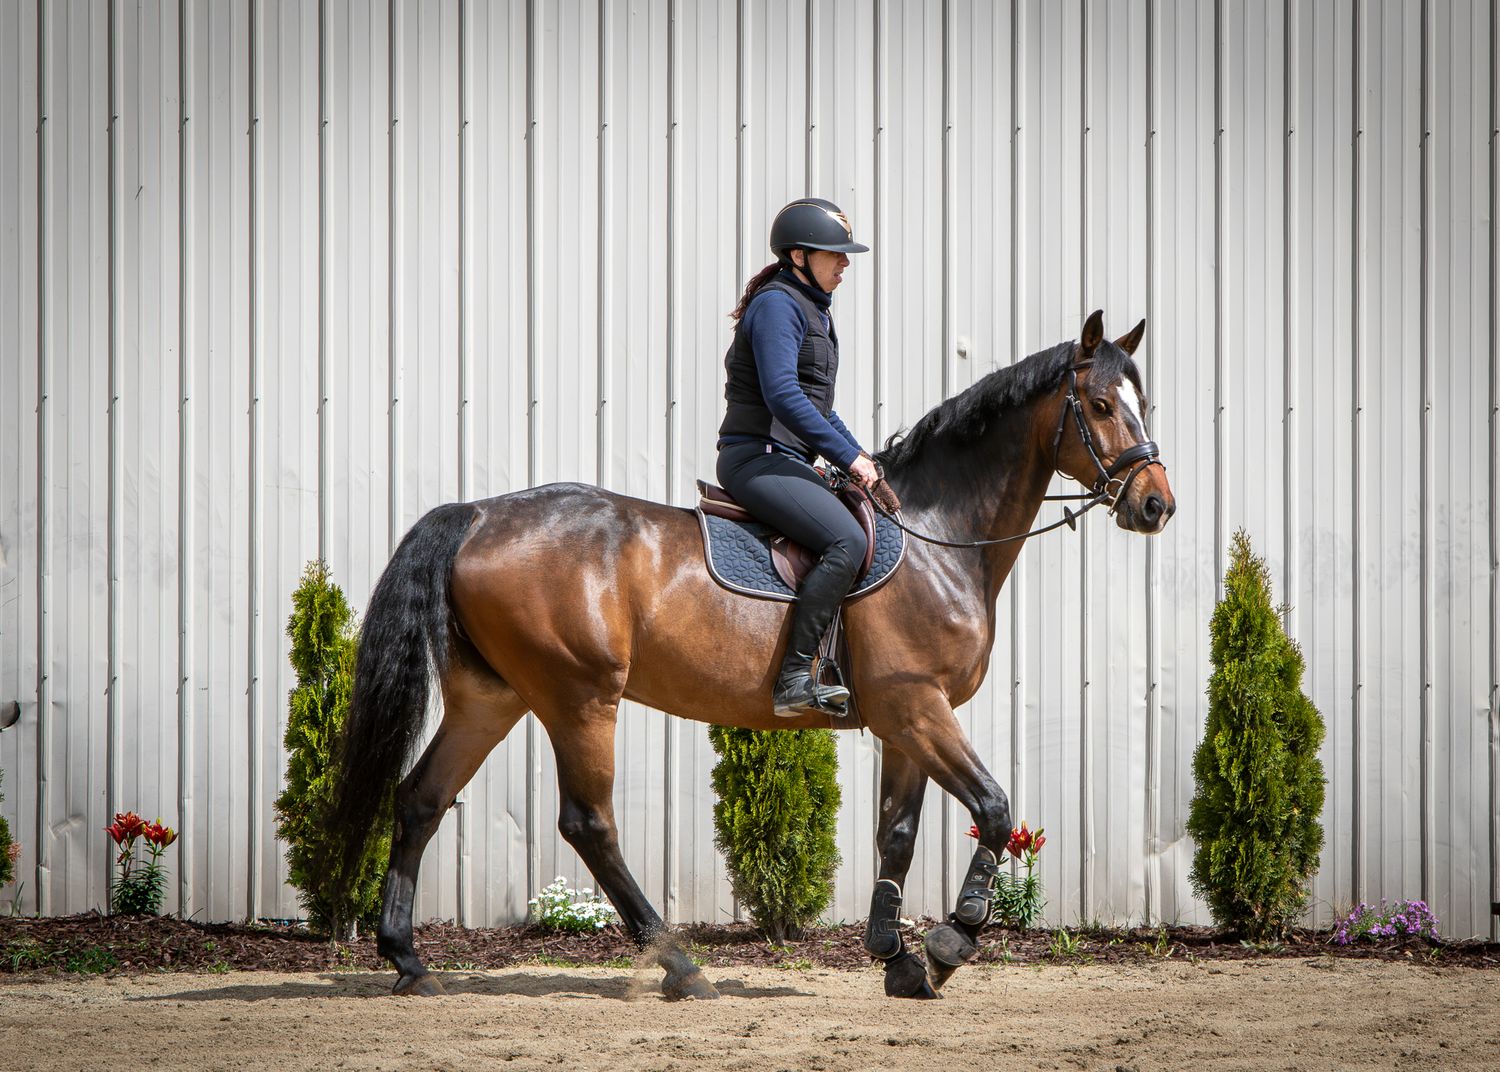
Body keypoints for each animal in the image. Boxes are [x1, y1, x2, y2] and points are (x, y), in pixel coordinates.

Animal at [325, 310, 1175, 1001]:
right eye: (1101, 406)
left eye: (1142, 402)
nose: (1156, 503)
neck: (940, 536)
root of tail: (475, 517)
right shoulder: (916, 707)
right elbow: (994, 809)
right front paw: (950, 940)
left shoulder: (905, 722)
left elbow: (897, 835)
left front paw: (898, 959)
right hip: (578, 696)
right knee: (588, 824)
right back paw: (680, 966)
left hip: (492, 698)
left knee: (421, 799)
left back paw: (409, 961)